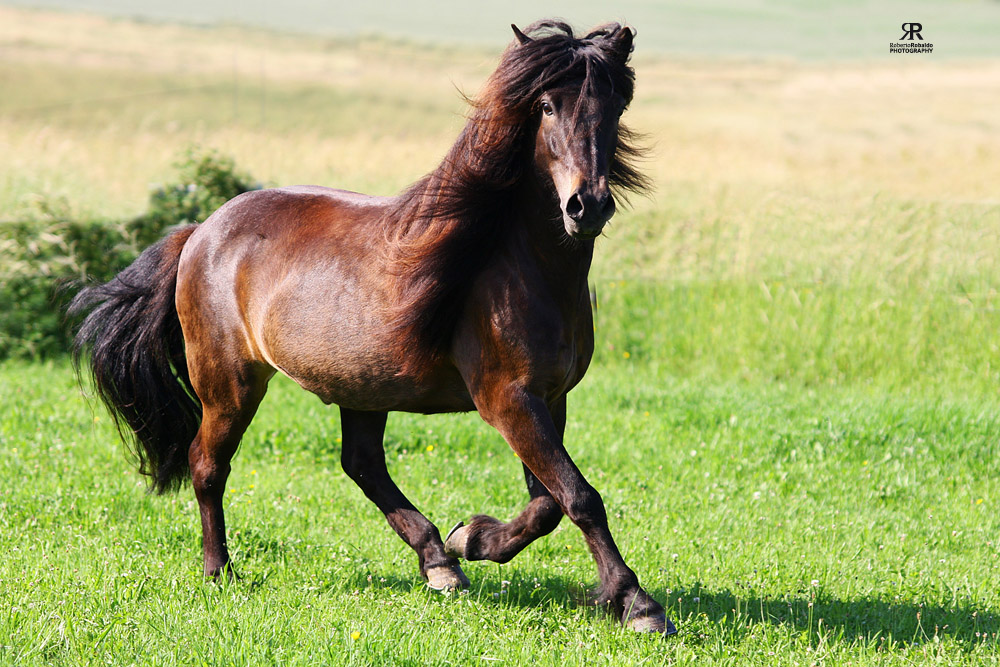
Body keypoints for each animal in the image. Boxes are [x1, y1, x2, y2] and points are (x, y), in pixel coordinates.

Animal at [72, 19, 672, 636]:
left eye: (616, 106)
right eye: (548, 107)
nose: (586, 206)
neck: (516, 265)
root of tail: (199, 231)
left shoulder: (549, 398)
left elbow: (549, 501)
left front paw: (474, 538)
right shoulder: (508, 399)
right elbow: (578, 496)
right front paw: (638, 604)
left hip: (361, 385)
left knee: (360, 464)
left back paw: (439, 563)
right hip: (231, 384)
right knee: (208, 465)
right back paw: (221, 572)